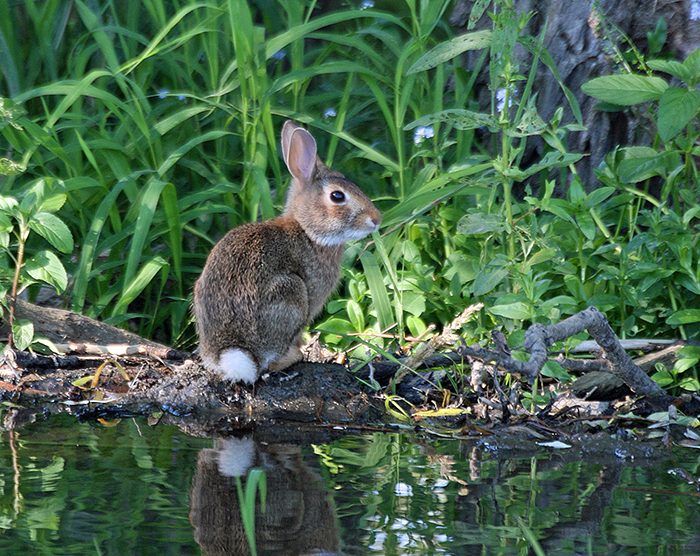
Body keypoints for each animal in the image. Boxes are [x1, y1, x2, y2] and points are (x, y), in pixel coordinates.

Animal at [193, 120, 382, 384]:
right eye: (337, 196)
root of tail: (234, 351)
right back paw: (294, 356)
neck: (307, 230)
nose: (376, 219)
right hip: (290, 293)